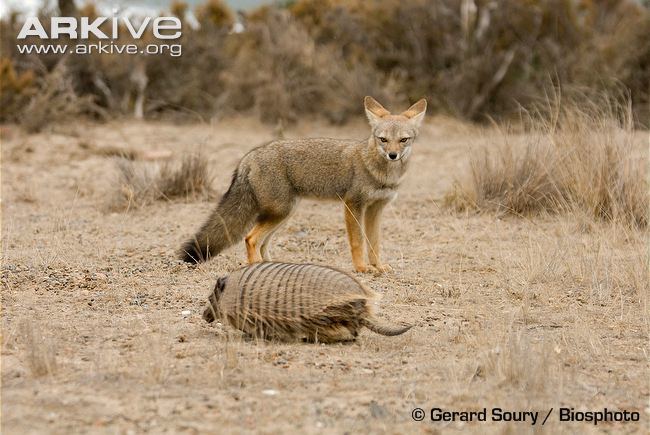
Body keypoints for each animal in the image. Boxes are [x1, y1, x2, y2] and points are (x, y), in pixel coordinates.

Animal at [181, 97, 426, 272]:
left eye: (403, 140)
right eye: (383, 139)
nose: (393, 155)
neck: (383, 173)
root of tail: (249, 156)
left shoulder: (376, 208)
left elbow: (374, 243)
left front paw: (378, 266)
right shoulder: (353, 205)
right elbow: (358, 242)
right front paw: (362, 268)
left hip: (284, 213)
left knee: (262, 242)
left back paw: (271, 266)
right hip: (280, 212)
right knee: (251, 238)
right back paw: (257, 267)